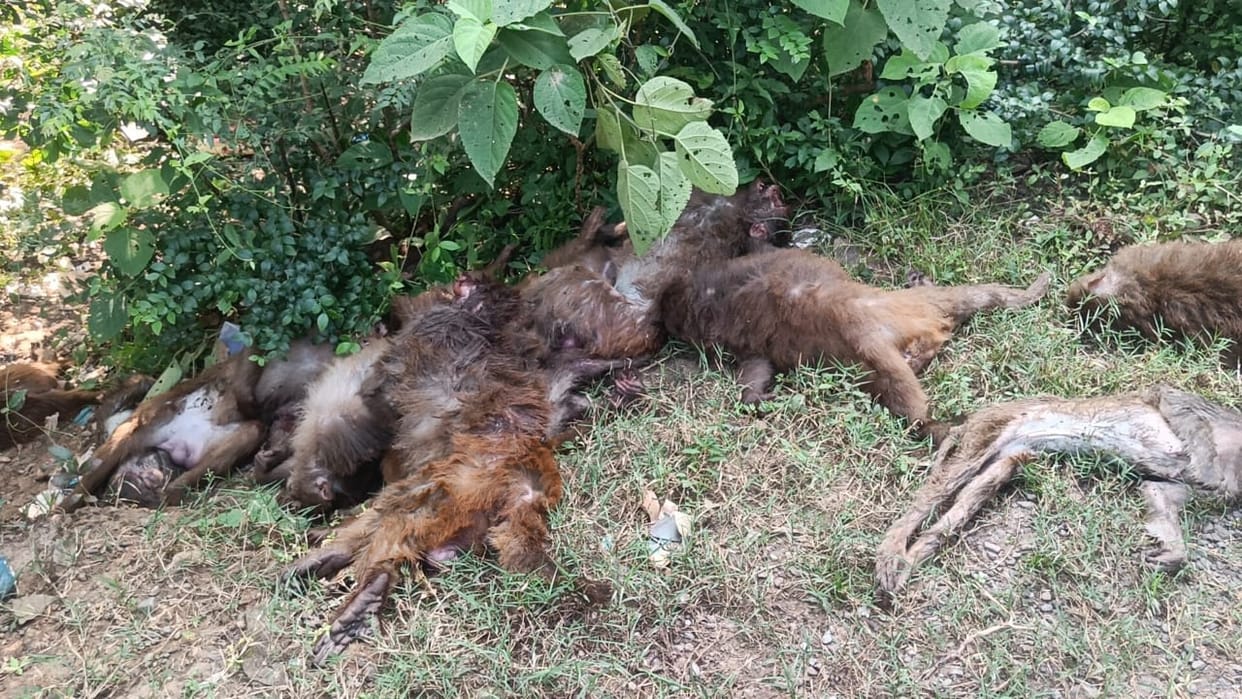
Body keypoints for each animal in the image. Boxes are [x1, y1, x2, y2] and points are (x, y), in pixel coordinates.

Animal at [875, 386, 1242, 599]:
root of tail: (969, 420)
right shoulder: (1189, 408)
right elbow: (1176, 405)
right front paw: (1203, 463)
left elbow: (1159, 494)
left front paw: (1170, 553)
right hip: (990, 428)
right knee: (936, 491)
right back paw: (891, 553)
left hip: (1009, 455)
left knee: (970, 496)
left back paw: (911, 559)